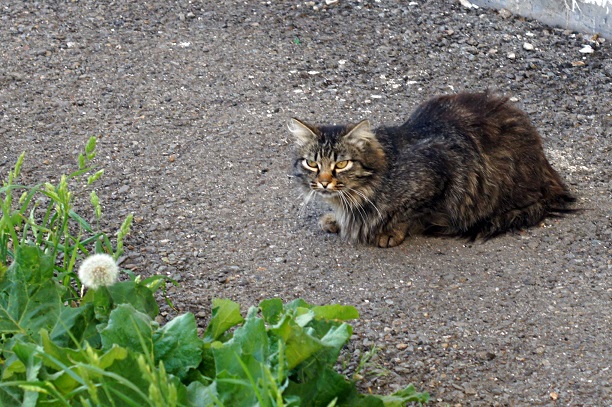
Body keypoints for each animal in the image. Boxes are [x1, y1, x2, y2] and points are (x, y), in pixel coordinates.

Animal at [290, 91, 576, 249]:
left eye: (341, 164)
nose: (324, 182)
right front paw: (333, 219)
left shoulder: (440, 172)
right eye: (312, 163)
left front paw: (389, 232)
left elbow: (407, 214)